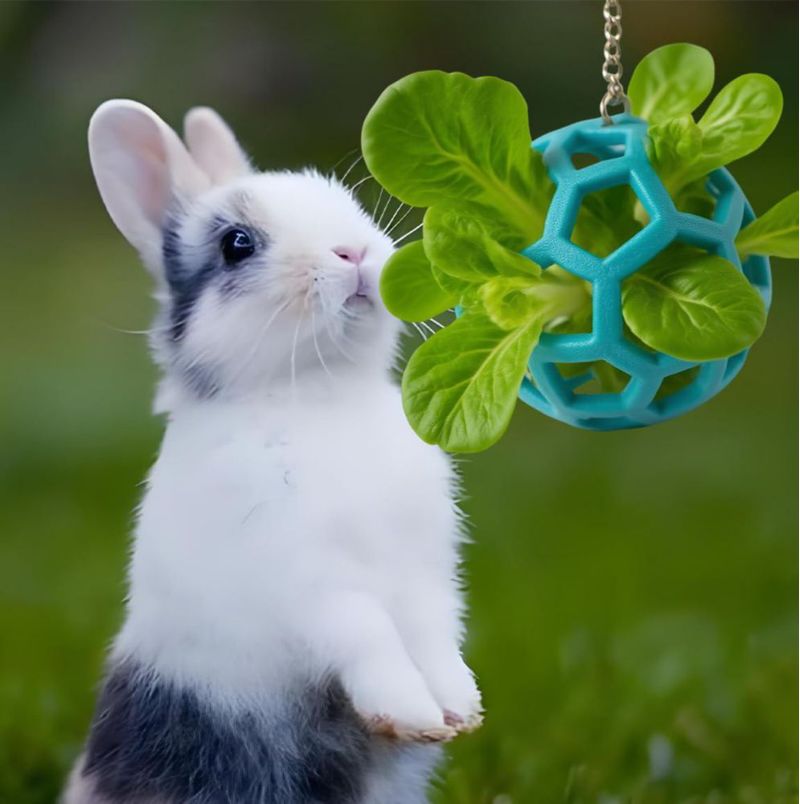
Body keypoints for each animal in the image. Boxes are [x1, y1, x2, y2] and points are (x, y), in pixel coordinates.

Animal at [62, 100, 482, 804]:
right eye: (237, 244)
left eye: (346, 203)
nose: (355, 251)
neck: (319, 392)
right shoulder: (312, 583)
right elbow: (370, 636)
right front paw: (409, 714)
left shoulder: (426, 573)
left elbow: (436, 635)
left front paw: (459, 710)